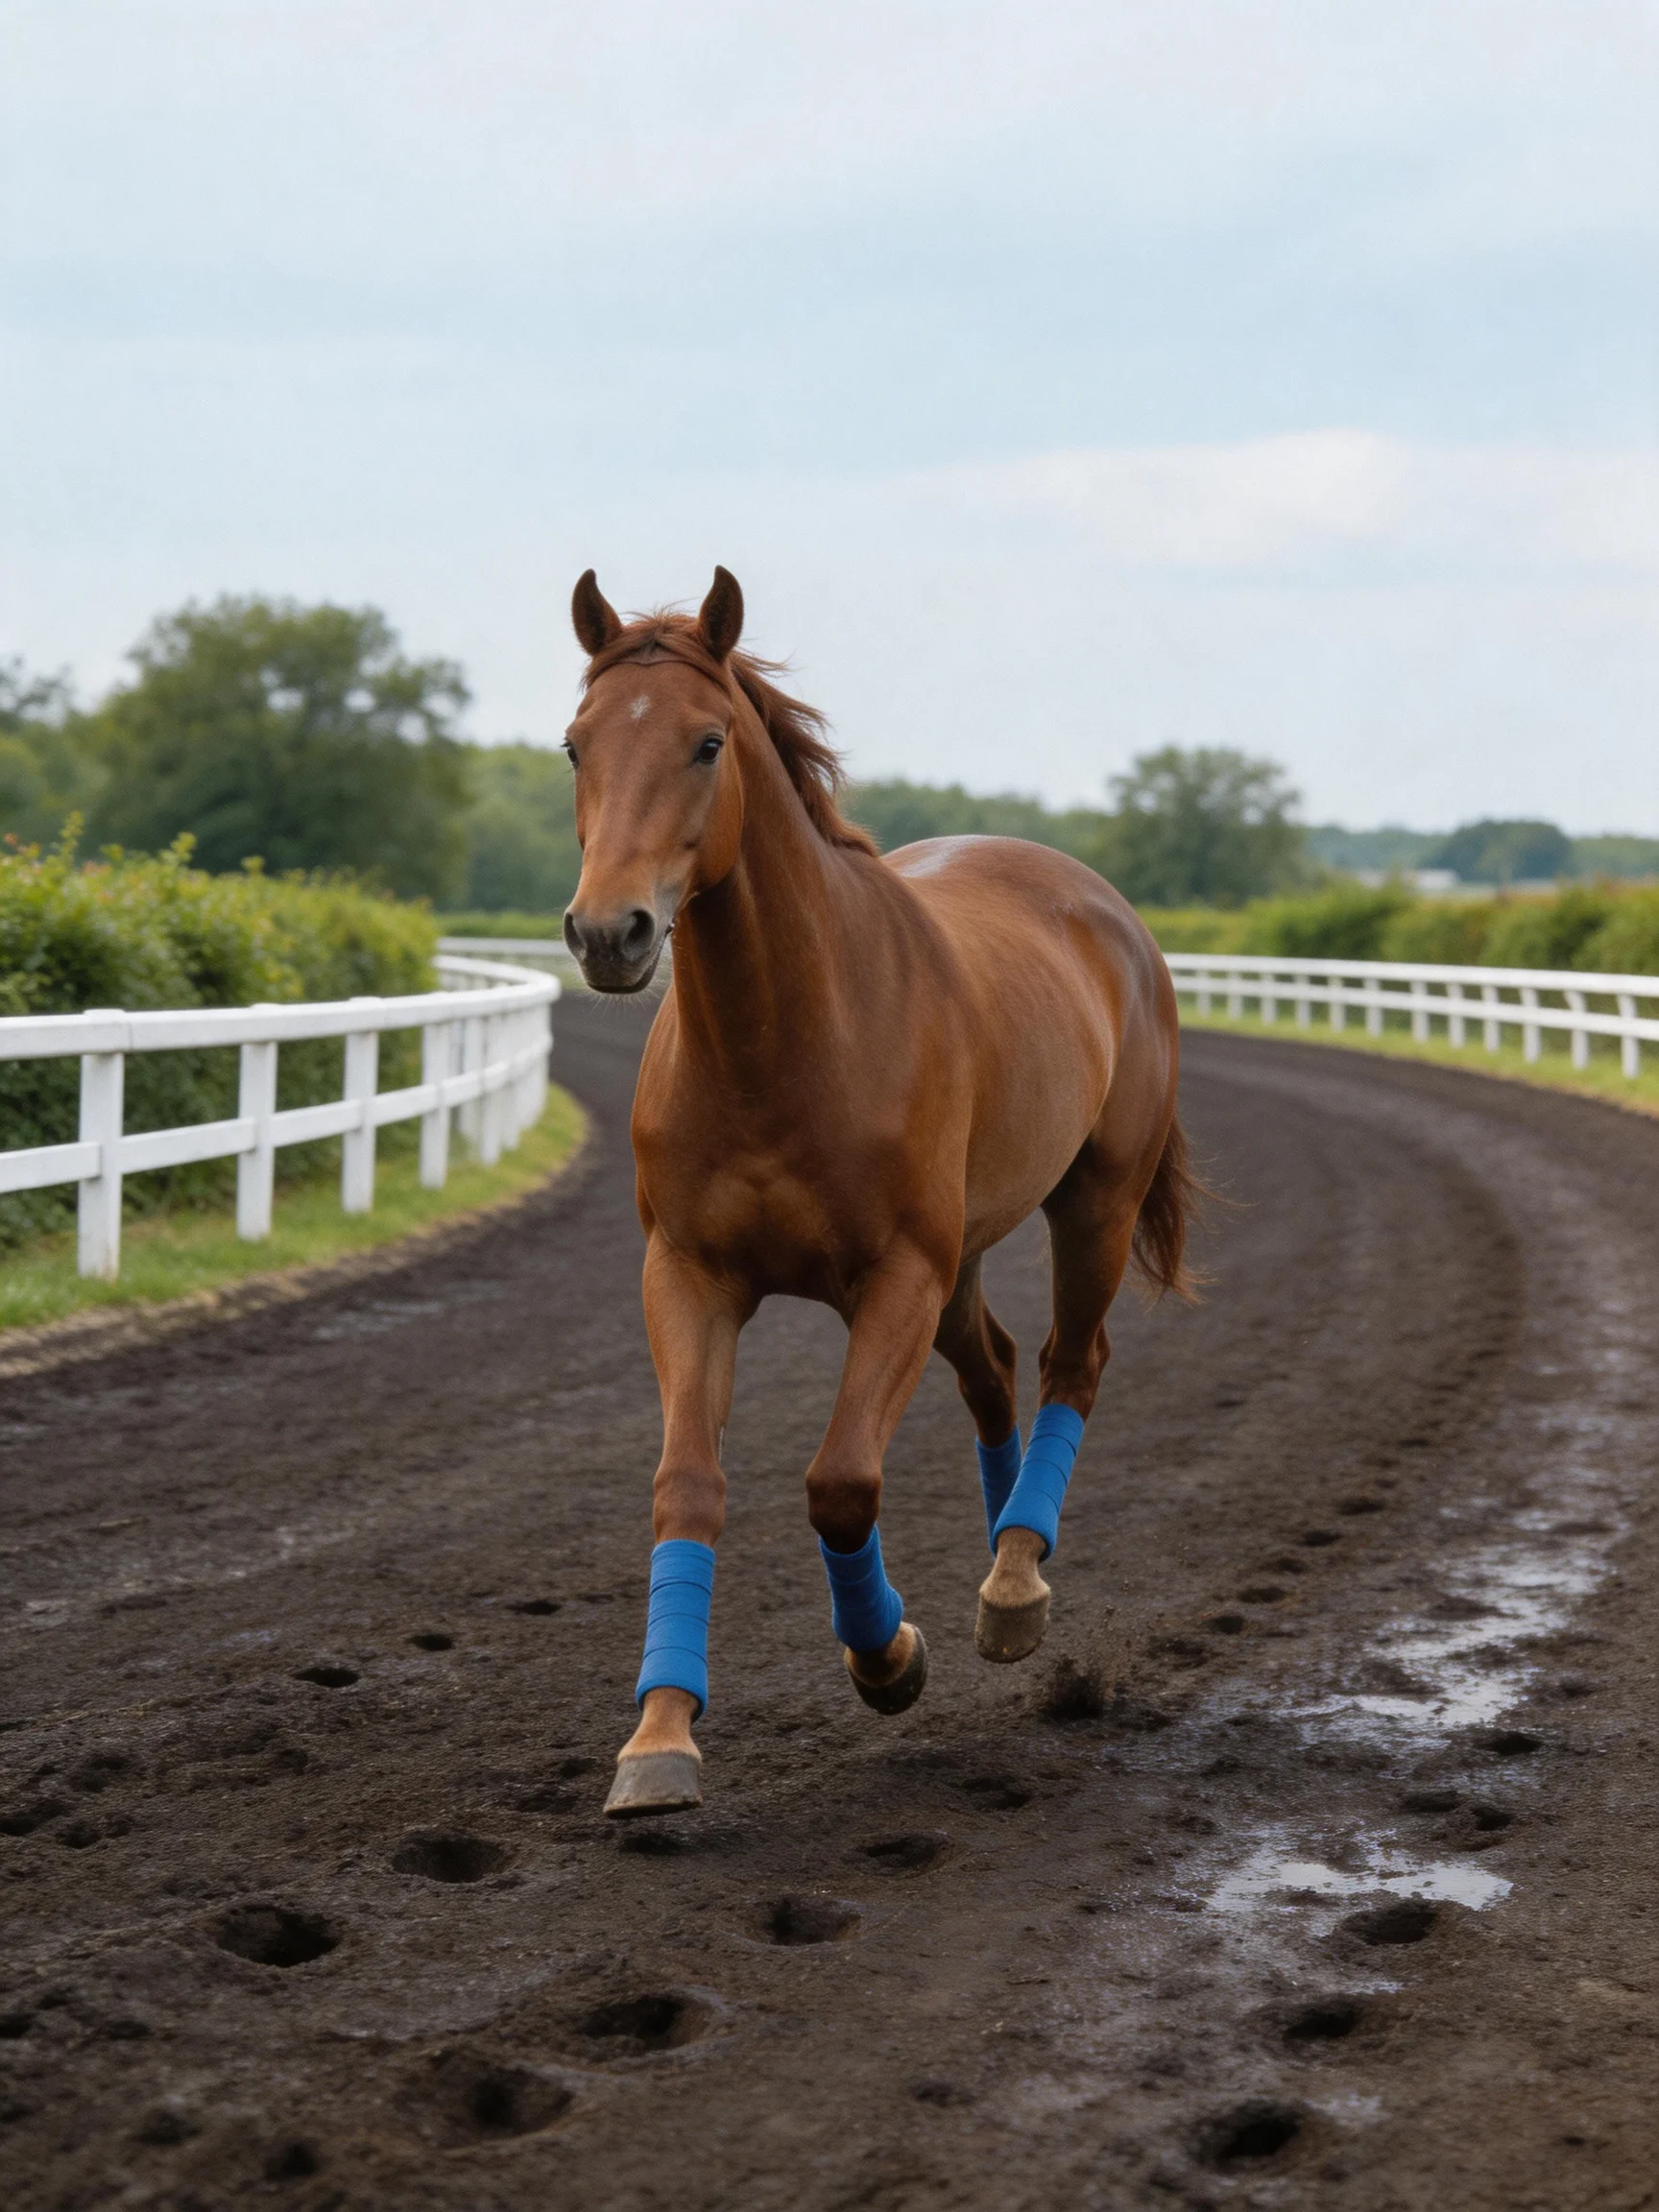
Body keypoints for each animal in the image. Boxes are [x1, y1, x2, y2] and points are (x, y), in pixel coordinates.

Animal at [559, 567, 1197, 1818]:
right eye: (575, 745)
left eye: (708, 742)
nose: (611, 932)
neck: (787, 1041)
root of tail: (1098, 903)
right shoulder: (689, 1274)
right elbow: (687, 1485)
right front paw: (659, 1738)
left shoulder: (898, 1275)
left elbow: (842, 1480)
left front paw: (888, 1655)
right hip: (966, 1257)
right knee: (994, 1365)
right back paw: (1011, 1542)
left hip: (1092, 1203)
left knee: (1071, 1362)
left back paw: (1014, 1587)